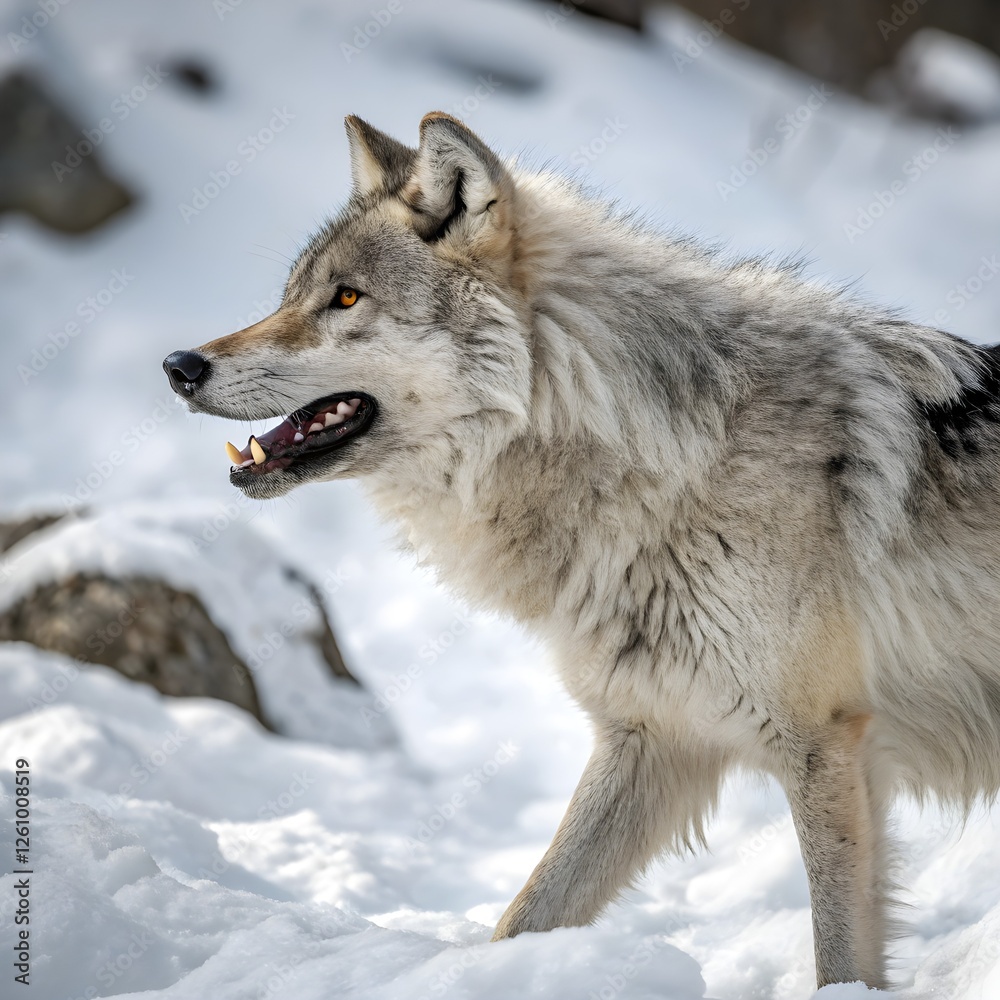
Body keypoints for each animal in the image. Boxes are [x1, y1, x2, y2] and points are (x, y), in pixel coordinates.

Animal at [163, 112, 1000, 991]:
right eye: (290, 295)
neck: (668, 458)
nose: (180, 366)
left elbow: (838, 959)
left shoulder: (825, 745)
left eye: (347, 298)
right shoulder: (649, 737)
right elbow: (525, 915)